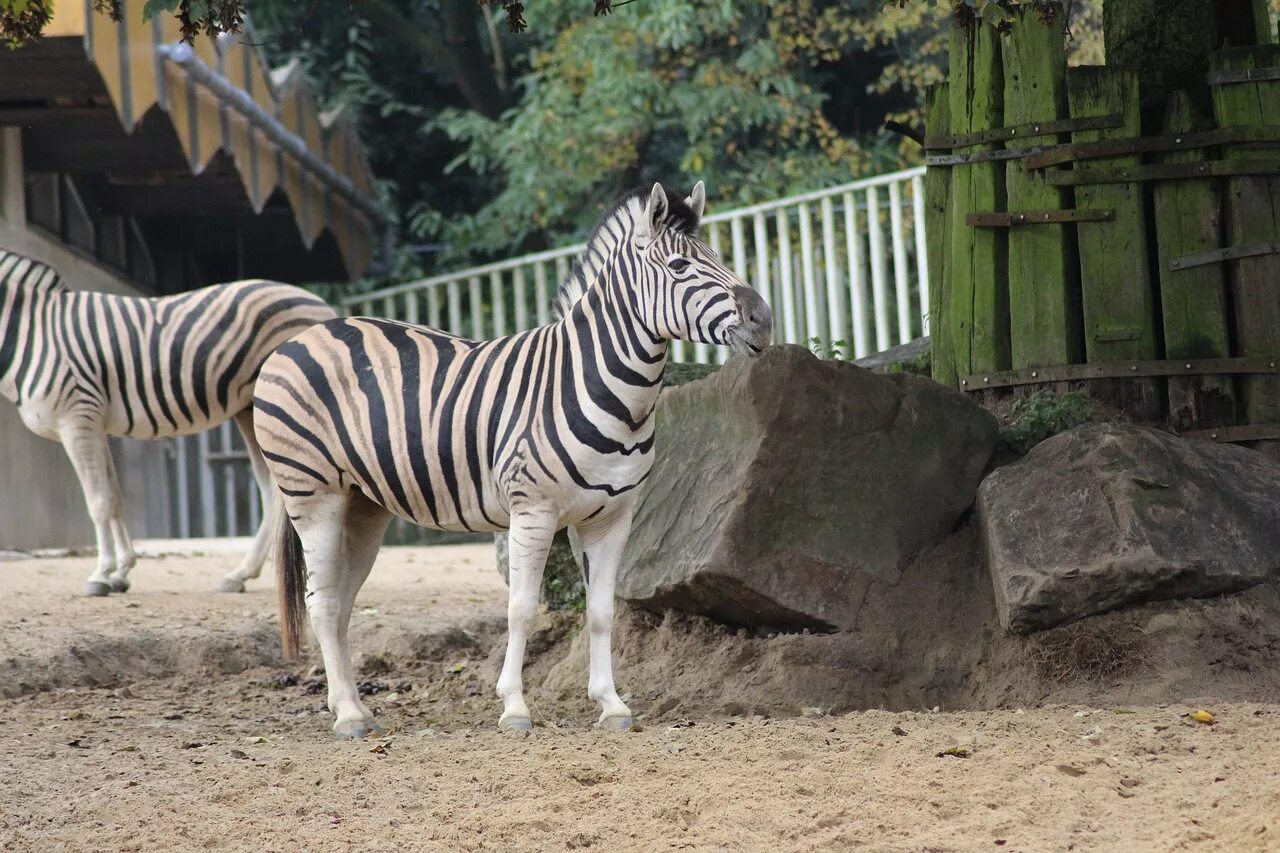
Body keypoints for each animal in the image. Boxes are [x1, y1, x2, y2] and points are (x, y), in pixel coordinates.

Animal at [0, 249, 337, 594]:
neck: (29, 331)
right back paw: (240, 574)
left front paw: (100, 574)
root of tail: (319, 302)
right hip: (252, 410)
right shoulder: (94, 425)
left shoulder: (77, 419)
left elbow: (98, 502)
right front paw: (121, 572)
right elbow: (115, 497)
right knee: (273, 490)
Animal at [249, 180, 768, 737]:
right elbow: (521, 609)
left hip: (363, 505)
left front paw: (611, 704)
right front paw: (515, 706)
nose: (764, 320)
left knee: (342, 601)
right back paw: (347, 715)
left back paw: (354, 706)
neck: (600, 385)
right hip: (312, 492)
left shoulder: (612, 517)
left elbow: (602, 612)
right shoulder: (532, 510)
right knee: (322, 603)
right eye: (679, 266)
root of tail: (302, 336)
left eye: (718, 257)